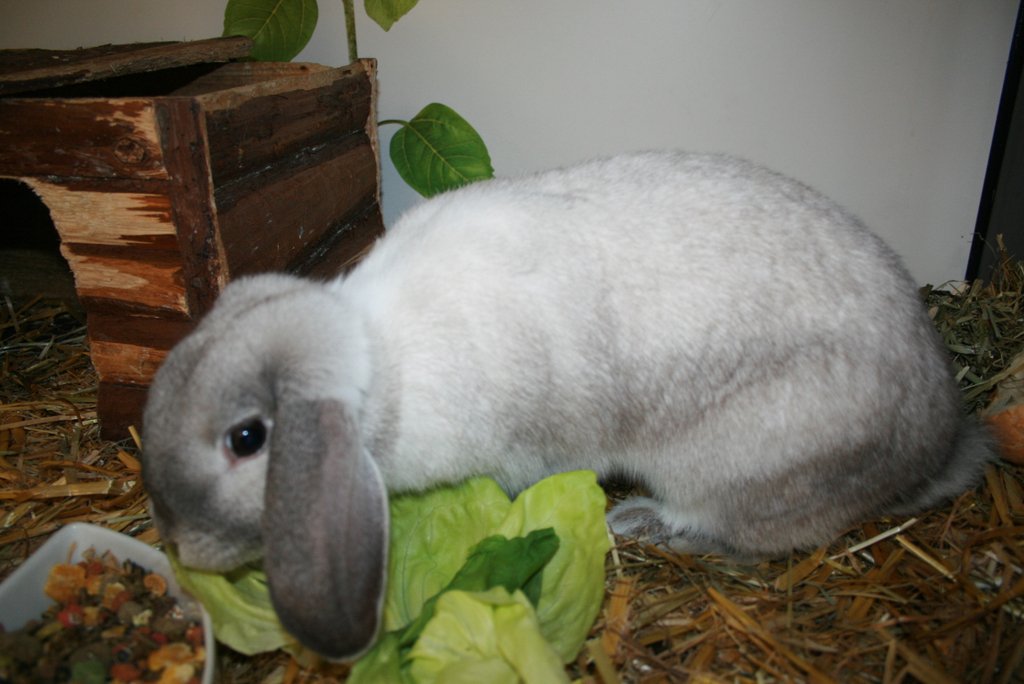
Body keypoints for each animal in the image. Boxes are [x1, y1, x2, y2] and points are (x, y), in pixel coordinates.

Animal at [141, 151, 993, 659]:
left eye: (246, 438)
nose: (177, 542)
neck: (383, 372)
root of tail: (938, 442)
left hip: (754, 465)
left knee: (742, 533)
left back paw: (640, 521)